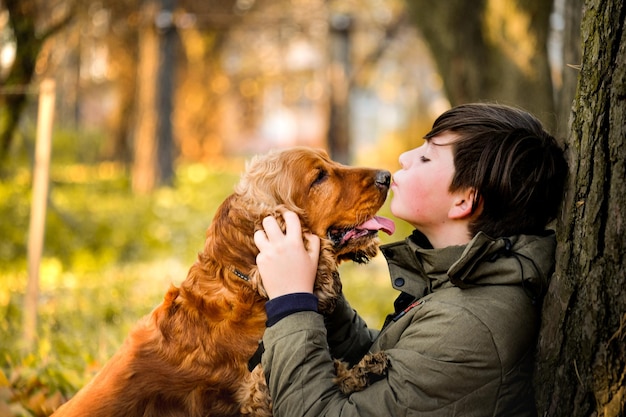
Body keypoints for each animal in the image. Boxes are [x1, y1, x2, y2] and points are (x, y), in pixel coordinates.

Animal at [52, 148, 390, 414]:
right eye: (319, 177)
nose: (387, 175)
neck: (247, 288)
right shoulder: (258, 393)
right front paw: (359, 371)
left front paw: (363, 369)